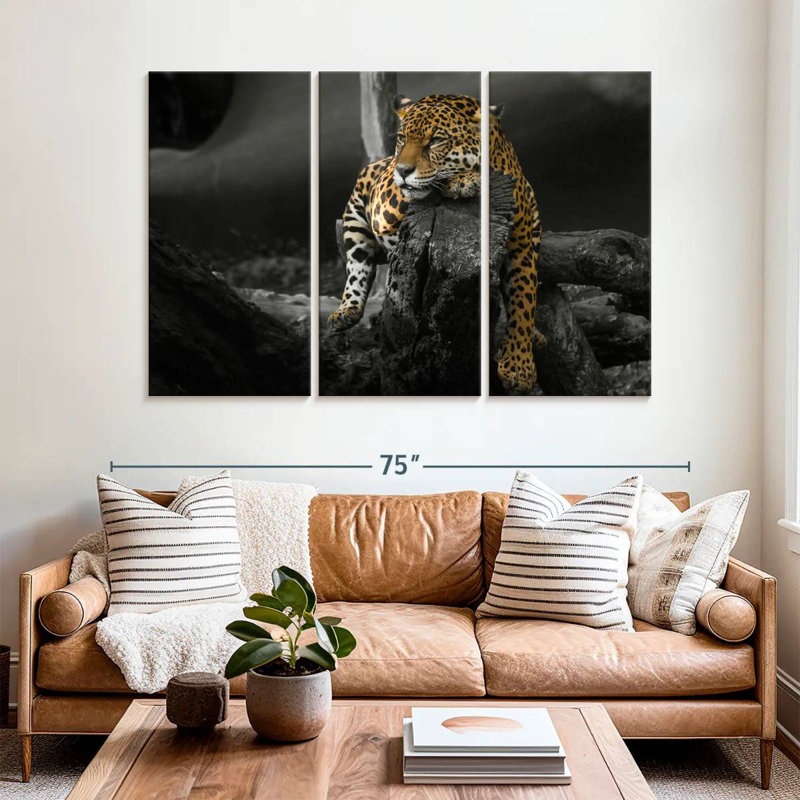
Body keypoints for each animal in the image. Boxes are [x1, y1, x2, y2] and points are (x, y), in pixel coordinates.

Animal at [328, 93, 544, 394]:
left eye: (436, 141)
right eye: (402, 138)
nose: (402, 170)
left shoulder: (522, 244)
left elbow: (524, 299)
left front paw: (519, 367)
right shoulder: (387, 200)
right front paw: (464, 180)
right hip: (357, 215)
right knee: (357, 265)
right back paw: (347, 310)